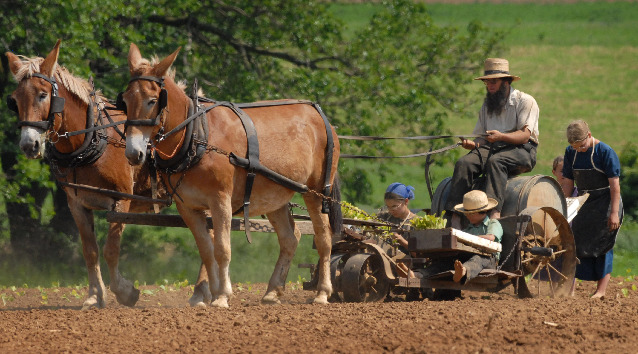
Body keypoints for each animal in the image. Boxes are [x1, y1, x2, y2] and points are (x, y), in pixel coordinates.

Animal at [5, 40, 211, 308]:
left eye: (42, 95)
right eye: (15, 100)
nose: (29, 145)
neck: (93, 139)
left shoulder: (121, 200)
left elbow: (110, 250)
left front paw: (125, 292)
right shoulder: (77, 204)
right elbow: (90, 251)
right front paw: (94, 296)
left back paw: (200, 292)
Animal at [122, 42, 342, 306]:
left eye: (152, 100)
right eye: (125, 100)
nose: (133, 152)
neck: (196, 136)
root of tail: (320, 116)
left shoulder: (220, 200)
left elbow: (222, 249)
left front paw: (222, 296)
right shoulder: (188, 207)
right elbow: (207, 250)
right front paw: (211, 294)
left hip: (316, 191)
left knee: (324, 238)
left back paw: (322, 293)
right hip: (274, 195)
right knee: (290, 238)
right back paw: (272, 291)